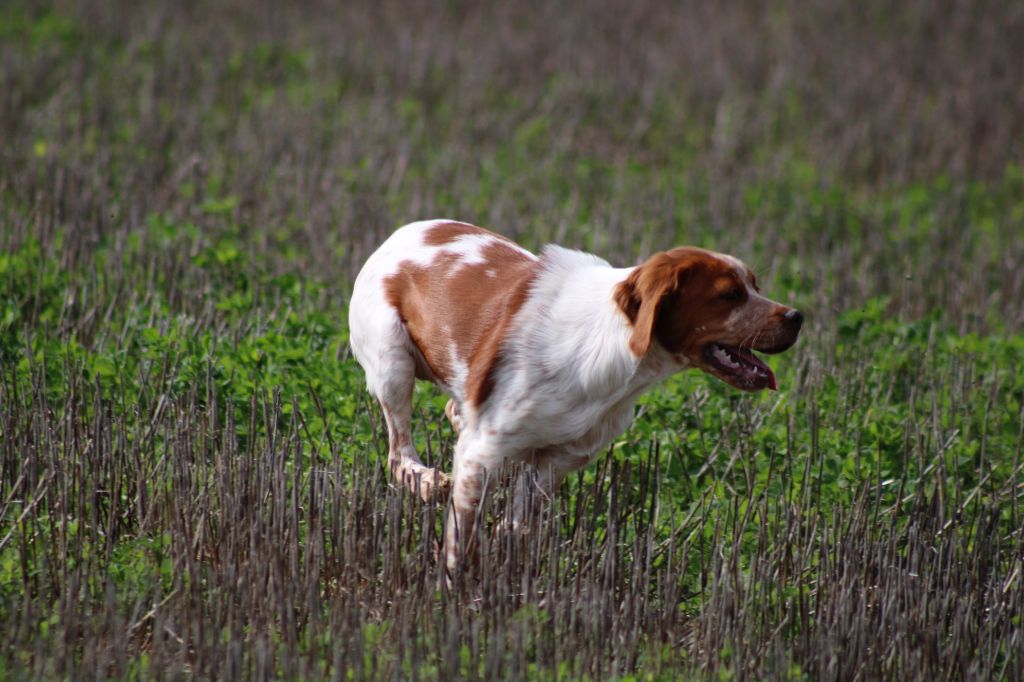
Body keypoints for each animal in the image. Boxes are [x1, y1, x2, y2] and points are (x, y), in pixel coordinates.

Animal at [348, 219, 802, 573]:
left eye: (754, 285)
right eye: (729, 295)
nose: (798, 316)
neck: (616, 347)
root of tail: (398, 234)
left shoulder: (563, 457)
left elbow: (517, 523)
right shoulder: (484, 450)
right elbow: (462, 539)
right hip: (392, 363)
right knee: (399, 455)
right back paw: (427, 481)